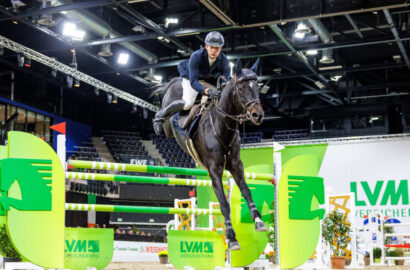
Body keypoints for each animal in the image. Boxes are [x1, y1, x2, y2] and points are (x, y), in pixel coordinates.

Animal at [156, 59, 266, 251]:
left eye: (257, 87)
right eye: (241, 88)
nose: (257, 115)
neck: (223, 126)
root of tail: (176, 80)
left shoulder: (236, 166)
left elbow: (246, 192)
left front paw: (258, 221)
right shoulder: (214, 170)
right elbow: (224, 204)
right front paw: (232, 238)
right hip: (171, 122)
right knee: (173, 112)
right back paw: (157, 120)